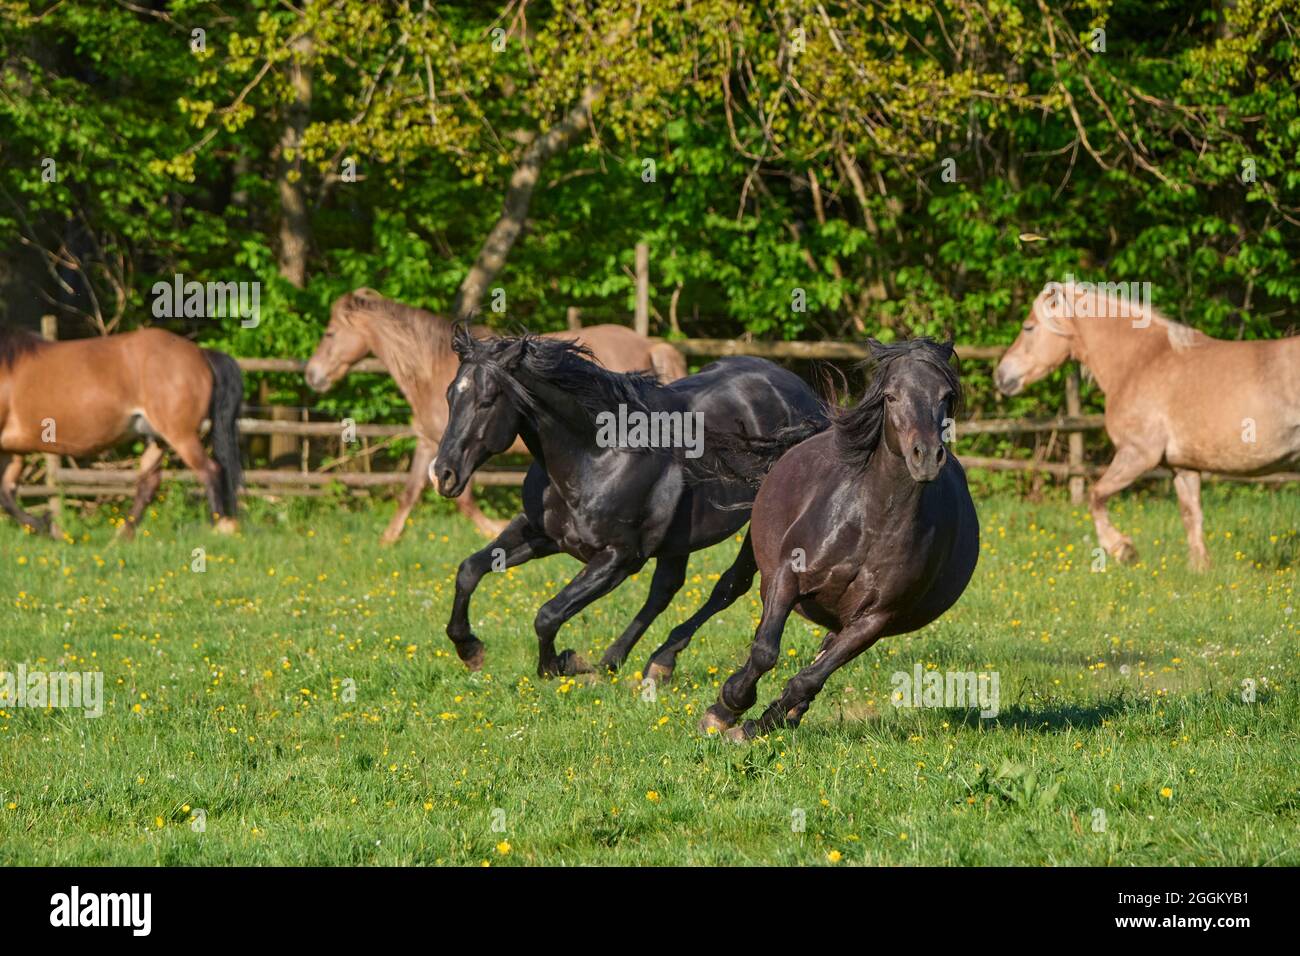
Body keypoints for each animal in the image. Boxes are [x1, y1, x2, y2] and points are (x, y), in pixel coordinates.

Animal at [0, 327, 244, 538]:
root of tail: (201, 353)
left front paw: (45, 524)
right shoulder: (12, 452)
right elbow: (6, 493)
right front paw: (44, 525)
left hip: (180, 436)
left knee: (210, 471)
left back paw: (219, 526)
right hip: (157, 439)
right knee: (149, 484)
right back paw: (121, 536)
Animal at [305, 287, 691, 541]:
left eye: (330, 333)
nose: (311, 374)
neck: (431, 368)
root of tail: (650, 344)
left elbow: (463, 500)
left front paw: (493, 528)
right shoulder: (430, 444)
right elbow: (411, 492)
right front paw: (387, 541)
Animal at [434, 329, 821, 681]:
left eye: (487, 400)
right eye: (451, 395)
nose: (443, 474)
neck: (596, 456)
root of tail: (805, 396)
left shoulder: (619, 558)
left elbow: (548, 614)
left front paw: (562, 665)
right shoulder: (540, 533)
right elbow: (469, 570)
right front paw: (469, 649)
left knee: (728, 586)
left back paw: (657, 660)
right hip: (679, 538)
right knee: (665, 589)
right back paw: (621, 660)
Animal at [696, 340, 977, 743]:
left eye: (946, 395)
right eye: (891, 396)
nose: (925, 457)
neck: (871, 524)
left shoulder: (873, 620)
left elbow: (809, 680)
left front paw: (755, 726)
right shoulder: (787, 577)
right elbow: (765, 651)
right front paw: (725, 709)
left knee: (817, 665)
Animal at [993, 280, 1300, 572]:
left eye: (1028, 327)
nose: (1000, 376)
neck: (1140, 361)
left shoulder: (1138, 454)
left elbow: (1096, 495)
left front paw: (1122, 549)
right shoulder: (1183, 468)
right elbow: (1191, 516)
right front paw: (1200, 569)